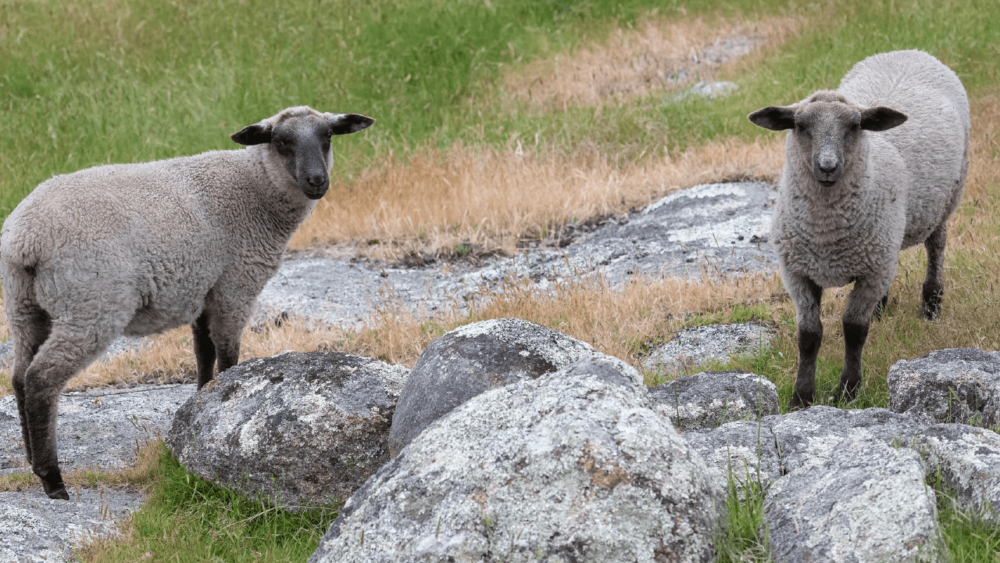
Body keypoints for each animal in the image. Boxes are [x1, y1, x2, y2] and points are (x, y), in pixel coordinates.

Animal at [0, 106, 376, 498]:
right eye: (282, 142)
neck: (255, 187)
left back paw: (32, 461)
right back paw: (52, 479)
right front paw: (224, 403)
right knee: (41, 380)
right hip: (91, 303)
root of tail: (26, 239)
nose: (317, 180)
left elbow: (203, 354)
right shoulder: (234, 286)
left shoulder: (201, 290)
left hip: (25, 306)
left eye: (327, 137)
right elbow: (227, 354)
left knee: (20, 377)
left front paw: (200, 407)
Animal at [752, 51, 968, 410]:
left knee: (936, 245)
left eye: (854, 126)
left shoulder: (870, 271)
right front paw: (801, 397)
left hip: (946, 199)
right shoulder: (798, 272)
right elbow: (808, 336)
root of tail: (909, 51)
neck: (825, 234)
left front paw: (848, 391)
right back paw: (883, 307)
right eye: (800, 126)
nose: (827, 167)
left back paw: (931, 305)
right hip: (884, 243)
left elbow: (854, 330)